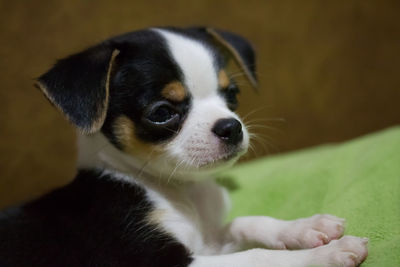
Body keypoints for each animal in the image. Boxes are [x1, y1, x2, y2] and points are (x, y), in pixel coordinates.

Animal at [0, 26, 368, 266]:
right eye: (162, 113)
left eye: (232, 95)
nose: (231, 127)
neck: (180, 189)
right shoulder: (171, 261)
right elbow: (260, 257)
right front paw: (326, 254)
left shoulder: (208, 244)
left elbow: (245, 222)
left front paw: (306, 228)